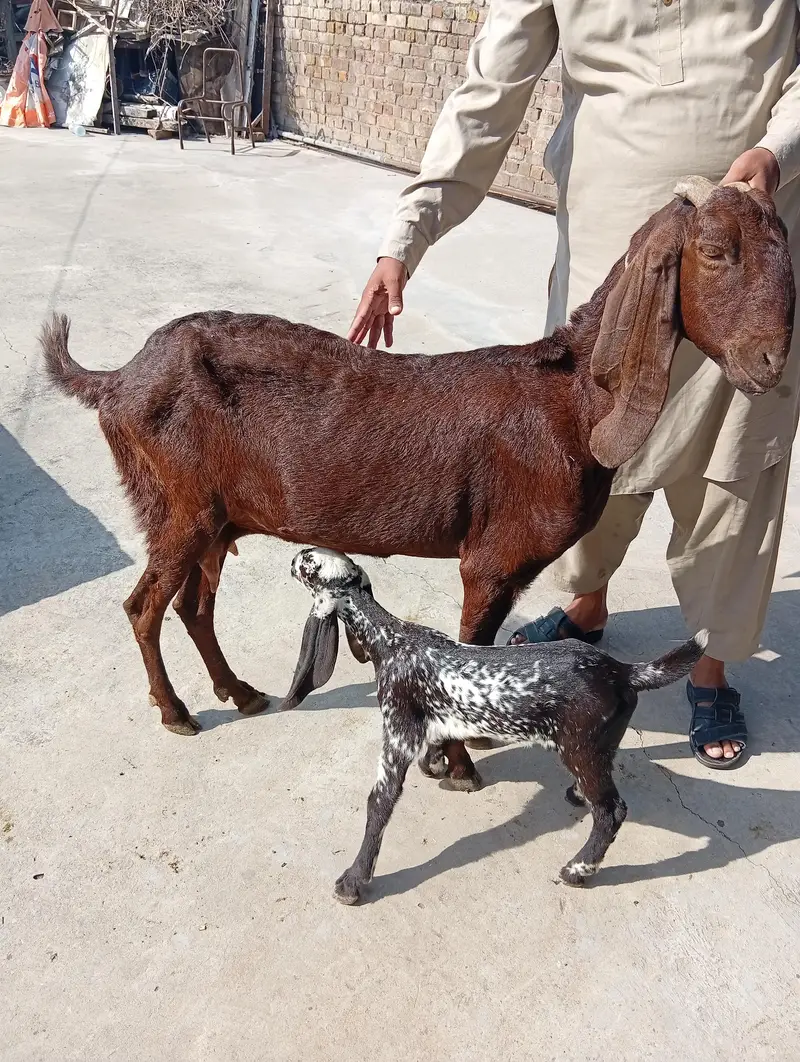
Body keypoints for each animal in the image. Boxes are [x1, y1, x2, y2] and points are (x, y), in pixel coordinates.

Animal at [41, 176, 793, 790]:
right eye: (715, 251)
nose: (770, 362)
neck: (576, 402)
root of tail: (117, 379)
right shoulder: (491, 560)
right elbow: (467, 649)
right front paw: (457, 766)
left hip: (217, 516)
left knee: (193, 606)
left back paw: (241, 692)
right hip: (181, 506)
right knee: (143, 606)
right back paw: (176, 711)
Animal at [286, 547, 708, 903]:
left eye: (308, 564)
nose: (291, 559)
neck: (392, 639)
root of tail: (624, 673)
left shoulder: (398, 731)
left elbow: (380, 803)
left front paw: (354, 880)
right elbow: (439, 742)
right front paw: (438, 765)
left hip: (580, 747)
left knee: (612, 812)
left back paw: (577, 869)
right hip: (599, 745)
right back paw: (578, 798)